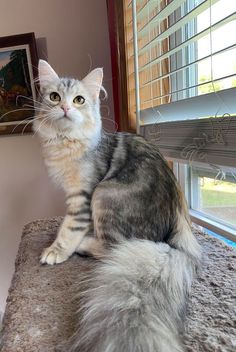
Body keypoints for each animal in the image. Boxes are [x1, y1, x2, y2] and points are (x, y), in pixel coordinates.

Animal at [34, 59, 201, 352]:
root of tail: (171, 241)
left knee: (113, 247)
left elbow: (69, 229)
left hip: (106, 194)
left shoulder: (83, 196)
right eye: (54, 97)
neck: (66, 142)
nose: (65, 108)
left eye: (79, 100)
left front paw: (57, 251)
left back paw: (84, 245)